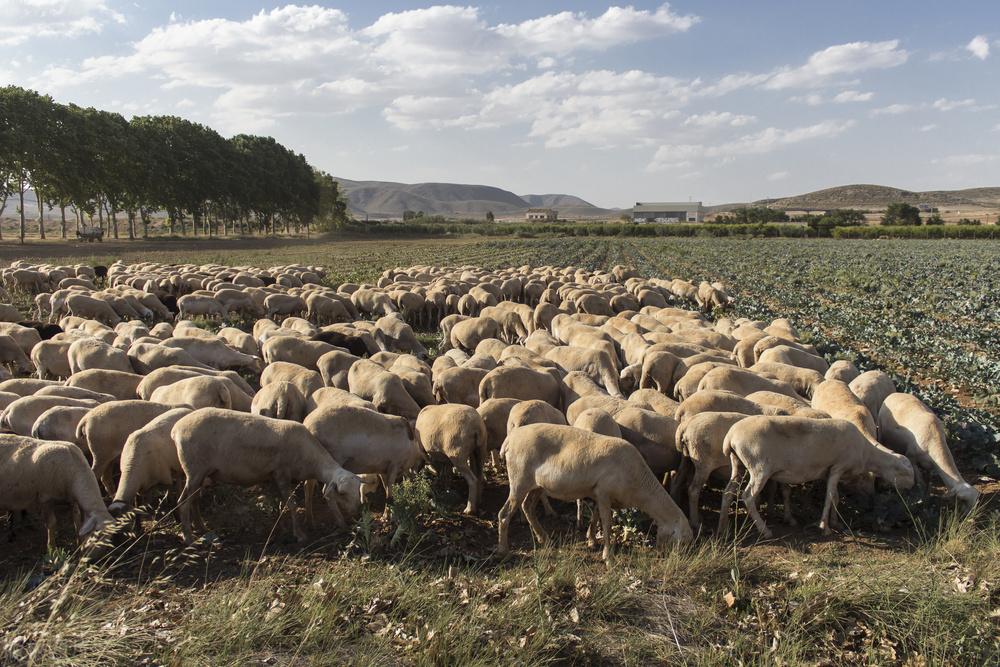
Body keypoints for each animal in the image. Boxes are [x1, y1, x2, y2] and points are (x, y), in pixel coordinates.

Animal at [172, 410, 364, 544]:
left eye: (358, 491)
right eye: (342, 493)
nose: (357, 512)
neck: (311, 460)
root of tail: (177, 429)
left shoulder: (273, 475)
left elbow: (281, 504)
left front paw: (284, 527)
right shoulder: (281, 473)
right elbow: (292, 504)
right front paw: (300, 534)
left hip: (200, 473)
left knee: (193, 500)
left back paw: (201, 528)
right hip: (194, 470)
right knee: (183, 501)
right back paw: (188, 537)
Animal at [500, 426, 696, 560]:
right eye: (682, 541)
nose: (676, 560)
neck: (640, 484)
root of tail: (509, 440)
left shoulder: (598, 493)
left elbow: (595, 517)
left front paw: (591, 540)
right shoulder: (604, 492)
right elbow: (607, 524)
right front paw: (608, 557)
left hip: (536, 485)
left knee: (527, 507)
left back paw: (544, 539)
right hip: (519, 479)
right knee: (504, 515)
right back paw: (505, 551)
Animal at [720, 418, 916, 536]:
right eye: (905, 472)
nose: (912, 486)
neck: (866, 453)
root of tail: (730, 437)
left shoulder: (830, 471)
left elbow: (835, 496)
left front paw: (836, 523)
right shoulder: (838, 467)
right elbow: (829, 497)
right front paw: (825, 527)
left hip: (737, 462)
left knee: (728, 491)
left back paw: (724, 526)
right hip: (759, 467)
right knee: (748, 496)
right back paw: (764, 530)